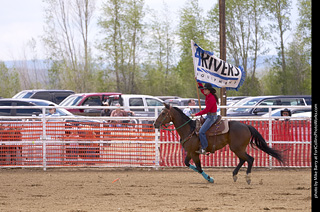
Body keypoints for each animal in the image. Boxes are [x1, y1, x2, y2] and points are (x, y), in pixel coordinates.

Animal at [154, 103, 284, 185]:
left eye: (163, 113)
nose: (155, 124)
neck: (190, 129)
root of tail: (246, 126)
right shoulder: (190, 152)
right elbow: (188, 164)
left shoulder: (195, 153)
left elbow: (199, 168)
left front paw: (210, 179)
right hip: (237, 148)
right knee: (243, 160)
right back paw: (235, 175)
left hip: (237, 148)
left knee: (250, 159)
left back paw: (247, 178)